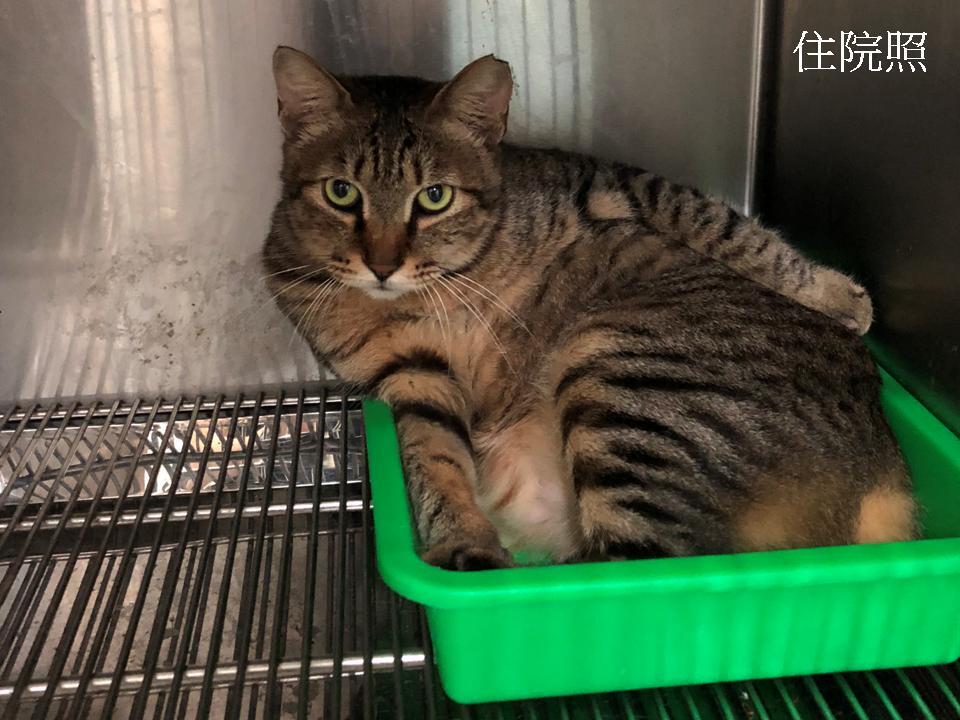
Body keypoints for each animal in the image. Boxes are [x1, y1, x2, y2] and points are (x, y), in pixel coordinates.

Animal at [263, 47, 916, 569]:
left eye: (434, 197)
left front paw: (837, 296)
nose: (381, 265)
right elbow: (435, 463)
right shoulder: (415, 379)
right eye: (341, 192)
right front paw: (464, 544)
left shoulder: (618, 184)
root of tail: (887, 472)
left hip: (623, 378)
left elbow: (734, 230)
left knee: (642, 559)